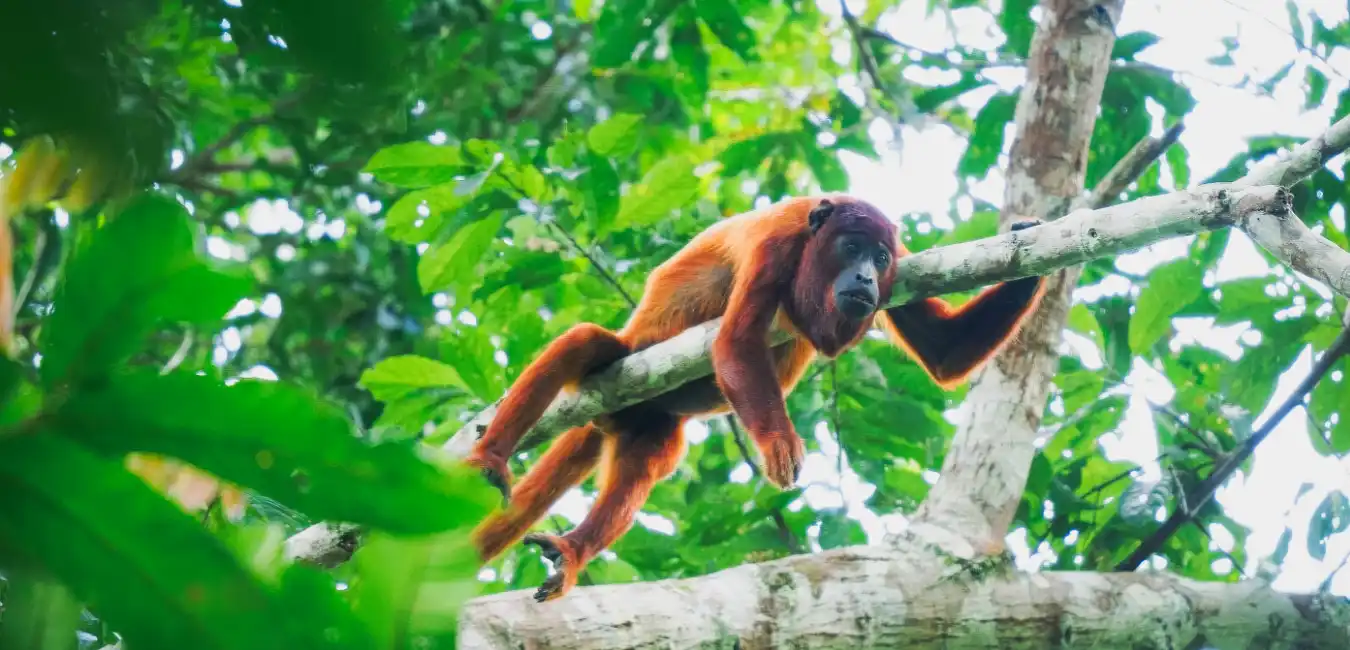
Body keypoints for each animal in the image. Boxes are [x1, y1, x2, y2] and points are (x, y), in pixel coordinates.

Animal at [464, 193, 1047, 602]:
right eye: (851, 248)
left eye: (880, 256)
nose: (865, 276)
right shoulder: (777, 244)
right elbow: (736, 342)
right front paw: (779, 443)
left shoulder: (904, 268)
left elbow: (946, 351)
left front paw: (1031, 244)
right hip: (623, 365)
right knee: (583, 343)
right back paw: (491, 457)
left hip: (648, 421)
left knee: (645, 463)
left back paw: (572, 551)